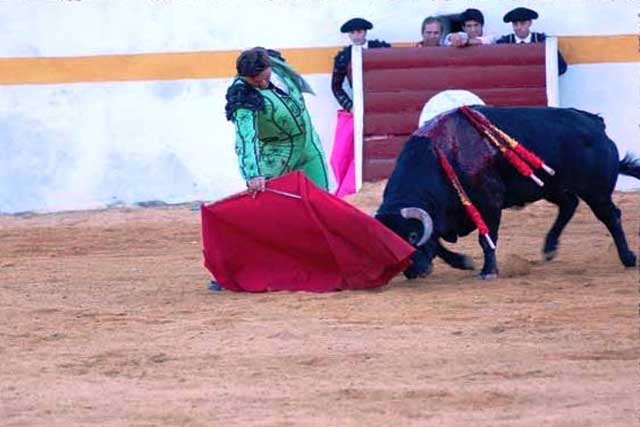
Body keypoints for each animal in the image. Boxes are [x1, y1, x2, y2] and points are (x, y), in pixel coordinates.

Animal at [376, 106, 640, 280]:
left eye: (411, 236)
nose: (413, 272)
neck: (443, 156)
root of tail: (595, 123)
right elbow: (437, 242)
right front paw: (463, 262)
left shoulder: (489, 203)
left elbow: (486, 239)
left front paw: (488, 272)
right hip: (549, 185)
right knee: (569, 204)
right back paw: (549, 248)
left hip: (596, 191)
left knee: (610, 216)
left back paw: (628, 258)